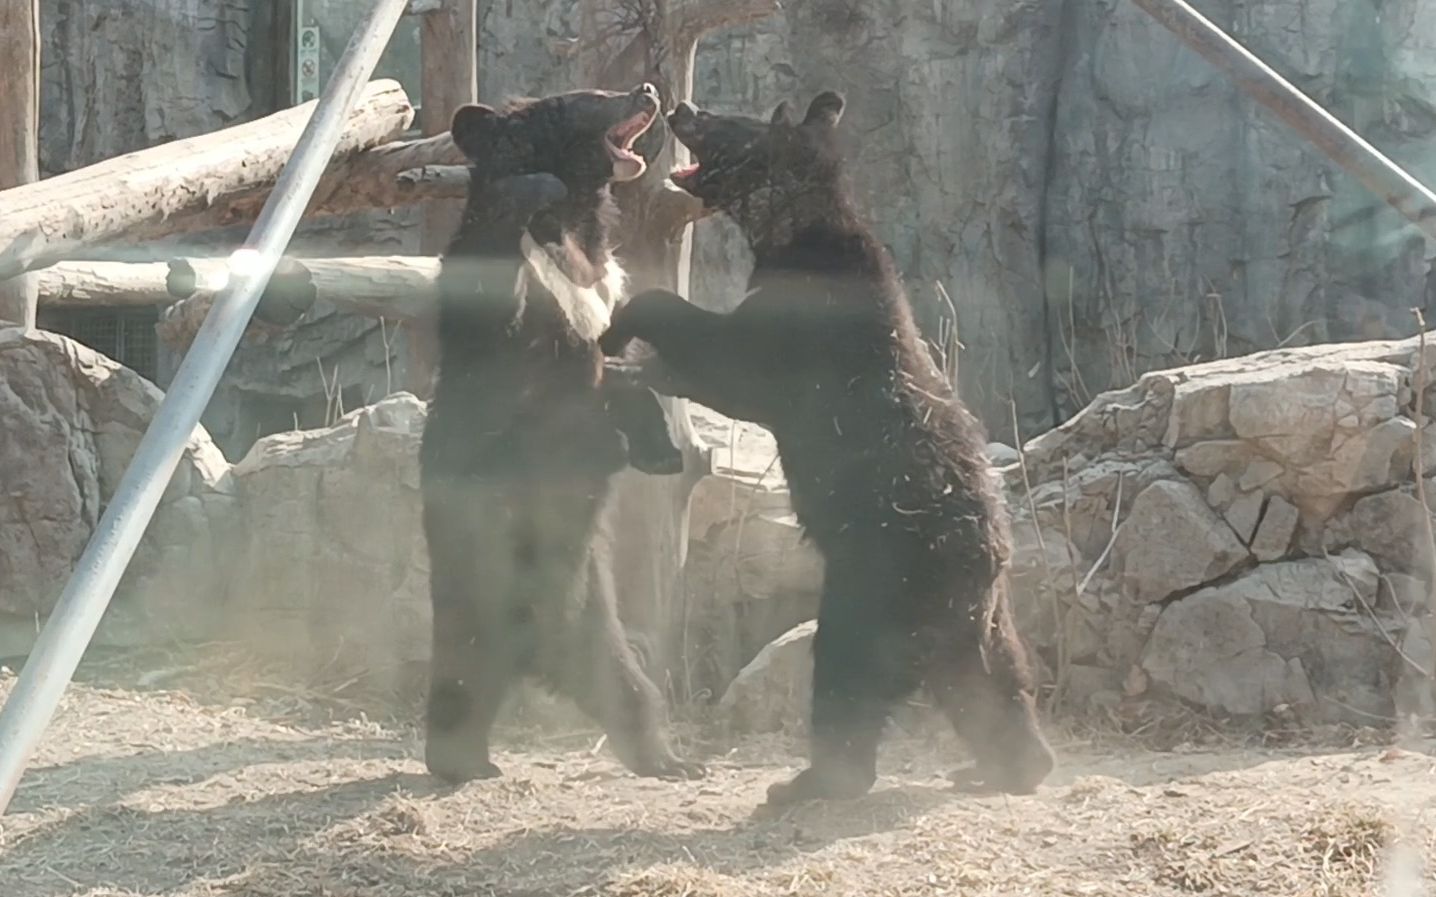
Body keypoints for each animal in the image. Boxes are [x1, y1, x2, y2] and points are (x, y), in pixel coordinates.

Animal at [419, 82, 703, 785]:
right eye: (591, 97)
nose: (649, 89)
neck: (574, 227)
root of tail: (534, 646)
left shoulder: (602, 289)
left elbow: (619, 381)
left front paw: (660, 449)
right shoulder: (512, 306)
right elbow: (491, 297)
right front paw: (533, 183)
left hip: (592, 612)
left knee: (625, 684)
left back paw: (668, 758)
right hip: (477, 574)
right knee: (463, 674)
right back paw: (460, 759)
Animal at [600, 92, 1056, 804]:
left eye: (729, 123)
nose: (681, 106)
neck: (790, 230)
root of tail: (982, 568)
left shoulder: (800, 331)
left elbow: (726, 359)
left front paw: (622, 332)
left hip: (877, 580)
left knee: (849, 667)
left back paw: (816, 778)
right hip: (974, 615)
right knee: (993, 677)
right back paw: (1008, 765)